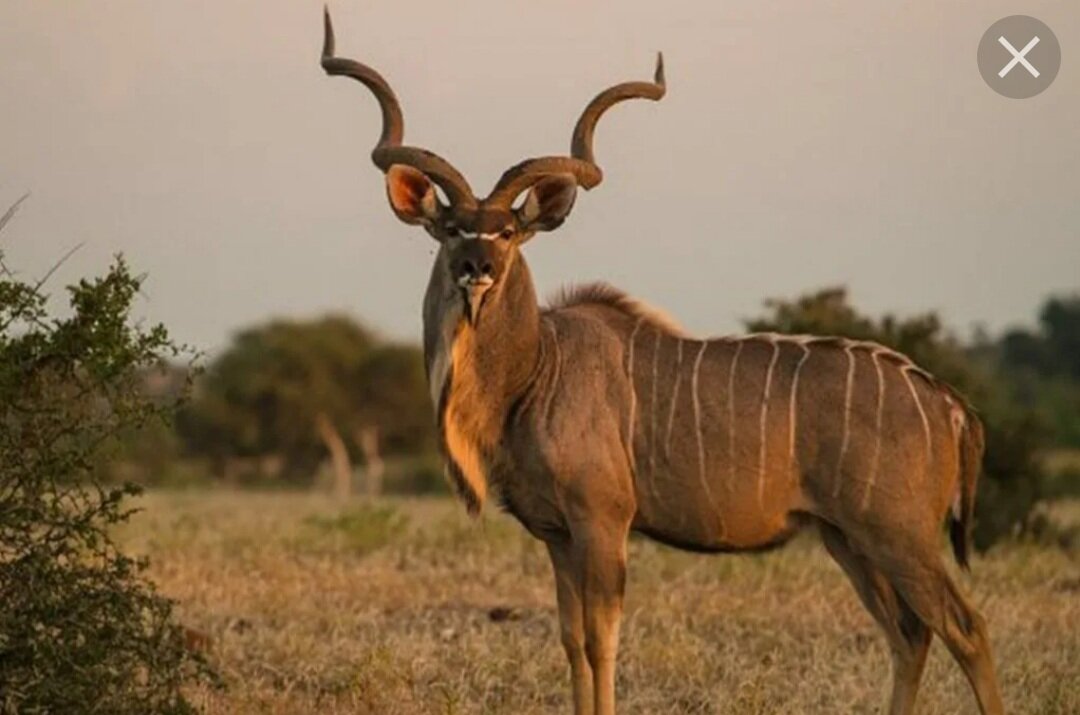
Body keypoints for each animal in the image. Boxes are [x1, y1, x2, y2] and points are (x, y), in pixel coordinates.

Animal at [317, 12, 1002, 715]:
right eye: (452, 227)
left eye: (507, 231)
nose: (476, 267)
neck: (536, 372)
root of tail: (951, 405)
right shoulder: (558, 535)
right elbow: (571, 640)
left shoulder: (602, 522)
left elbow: (602, 640)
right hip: (850, 539)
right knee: (910, 634)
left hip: (899, 534)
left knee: (966, 628)